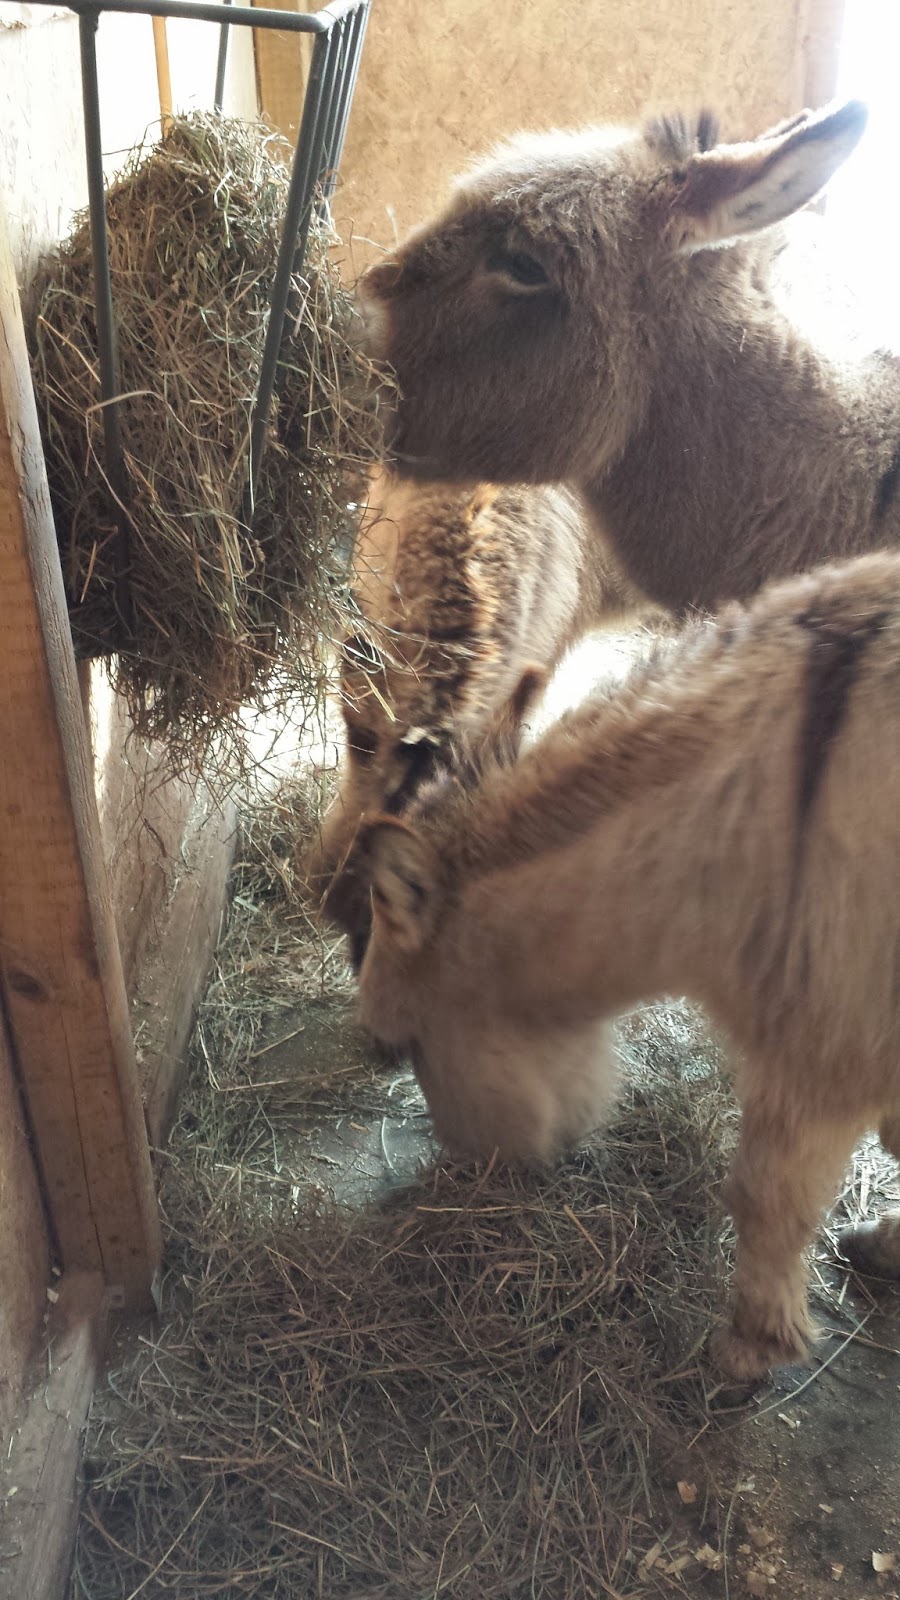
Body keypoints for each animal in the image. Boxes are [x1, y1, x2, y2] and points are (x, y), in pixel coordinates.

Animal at [354, 549, 900, 1382]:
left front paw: (753, 1345)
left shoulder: (817, 1055)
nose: (467, 1171)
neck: (750, 826)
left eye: (403, 1043)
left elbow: (766, 1197)